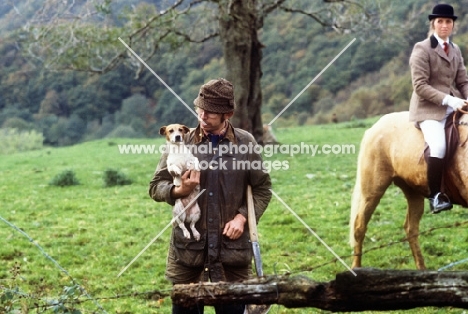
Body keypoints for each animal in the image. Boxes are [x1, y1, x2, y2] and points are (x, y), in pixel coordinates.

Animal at [350, 110, 466, 270]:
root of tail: (374, 127)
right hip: (373, 191)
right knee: (359, 227)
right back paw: (356, 268)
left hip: (413, 191)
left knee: (411, 229)